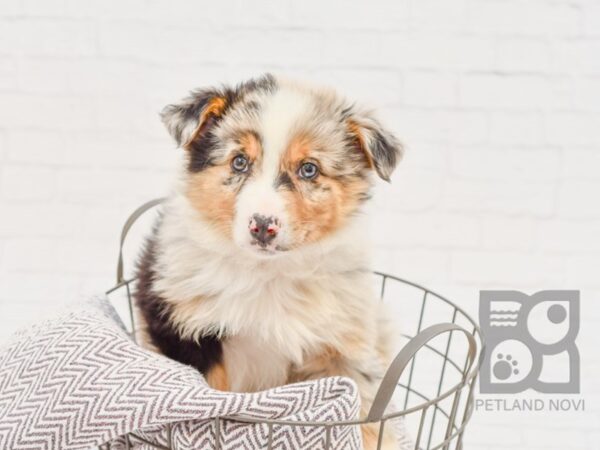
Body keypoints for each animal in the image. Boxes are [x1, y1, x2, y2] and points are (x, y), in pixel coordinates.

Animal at [132, 74, 404, 446]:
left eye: (309, 169)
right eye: (239, 162)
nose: (262, 225)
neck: (267, 272)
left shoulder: (343, 347)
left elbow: (363, 416)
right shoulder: (183, 330)